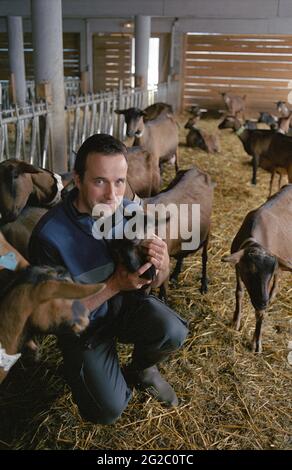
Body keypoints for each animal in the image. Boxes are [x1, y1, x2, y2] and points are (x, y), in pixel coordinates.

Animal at [221, 185, 292, 350]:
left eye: (269, 274)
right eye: (250, 270)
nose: (263, 302)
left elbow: (260, 313)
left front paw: (256, 343)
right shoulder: (238, 267)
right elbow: (239, 292)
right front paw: (236, 321)